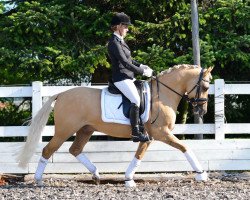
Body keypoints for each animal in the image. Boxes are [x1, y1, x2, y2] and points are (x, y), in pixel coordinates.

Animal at [16, 64, 213, 188]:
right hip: (64, 130)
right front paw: (201, 174)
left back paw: (96, 174)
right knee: (48, 150)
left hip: (85, 130)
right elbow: (185, 148)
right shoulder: (161, 133)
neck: (162, 95)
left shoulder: (148, 137)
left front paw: (128, 179)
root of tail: (62, 94)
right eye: (205, 87)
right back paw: (39, 180)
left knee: (75, 149)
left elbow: (138, 156)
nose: (202, 111)